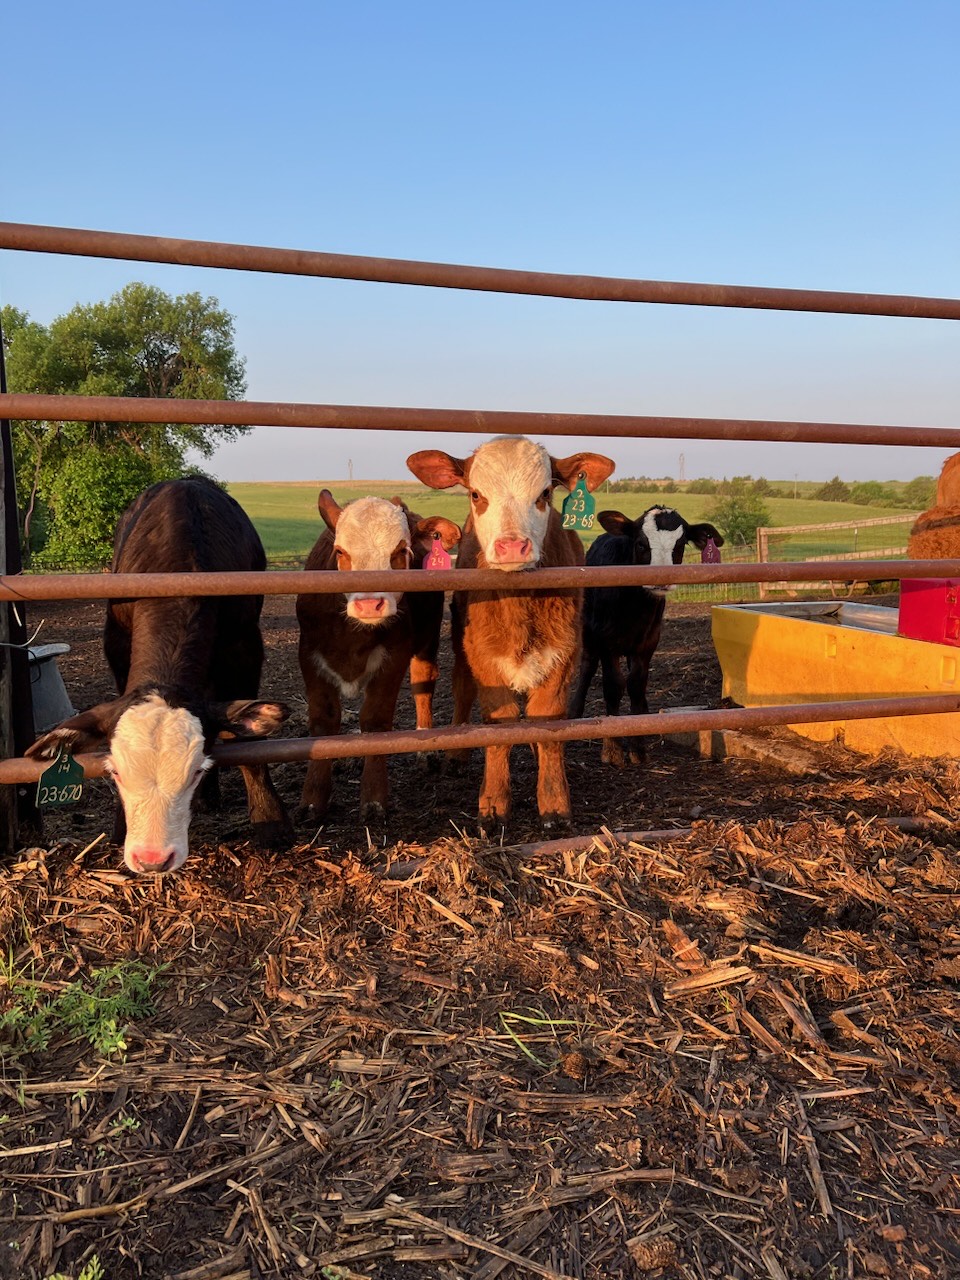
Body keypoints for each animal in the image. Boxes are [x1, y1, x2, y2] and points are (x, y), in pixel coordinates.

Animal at [29, 476, 293, 875]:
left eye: (195, 771)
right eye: (115, 772)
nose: (152, 859)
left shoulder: (247, 644)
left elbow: (250, 741)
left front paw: (270, 819)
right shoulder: (117, 642)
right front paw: (120, 825)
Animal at [407, 432, 616, 829]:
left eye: (546, 493)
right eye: (476, 494)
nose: (512, 547)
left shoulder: (562, 654)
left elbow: (547, 724)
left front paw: (554, 802)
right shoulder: (484, 656)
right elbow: (499, 725)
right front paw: (493, 803)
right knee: (462, 690)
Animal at [570, 504, 721, 762]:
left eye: (680, 544)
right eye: (641, 544)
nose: (661, 580)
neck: (634, 606)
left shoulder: (648, 643)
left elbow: (636, 685)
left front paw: (638, 742)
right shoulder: (607, 642)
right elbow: (614, 685)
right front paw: (612, 748)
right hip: (589, 634)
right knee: (588, 666)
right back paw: (575, 710)